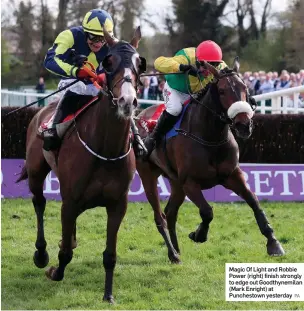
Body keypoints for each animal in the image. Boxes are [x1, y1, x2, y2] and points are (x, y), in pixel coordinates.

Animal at [17, 26, 145, 304]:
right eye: (109, 63)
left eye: (140, 63)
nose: (127, 101)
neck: (105, 150)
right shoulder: (70, 200)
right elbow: (64, 253)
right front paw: (54, 270)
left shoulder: (118, 205)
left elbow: (110, 255)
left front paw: (108, 295)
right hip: (36, 172)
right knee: (39, 203)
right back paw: (41, 253)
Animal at [135, 58, 284, 260]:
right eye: (222, 91)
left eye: (245, 87)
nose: (244, 125)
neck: (210, 137)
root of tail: (140, 116)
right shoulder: (190, 182)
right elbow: (207, 212)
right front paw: (198, 234)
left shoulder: (232, 175)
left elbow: (254, 201)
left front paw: (273, 242)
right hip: (148, 175)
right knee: (160, 216)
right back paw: (173, 253)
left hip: (175, 182)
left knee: (170, 212)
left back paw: (176, 250)